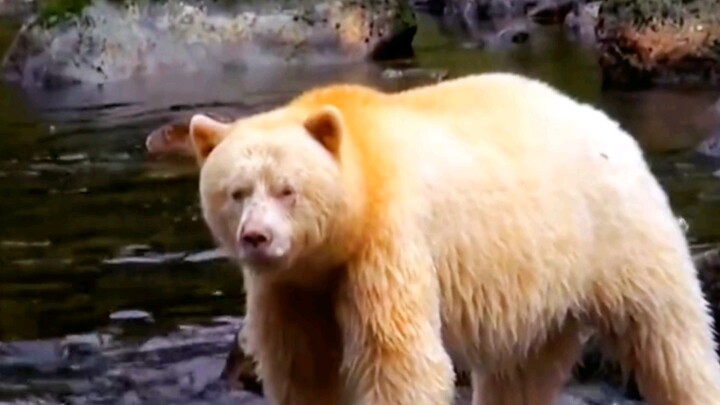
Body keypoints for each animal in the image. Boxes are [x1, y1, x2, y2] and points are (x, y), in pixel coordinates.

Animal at [187, 72, 720, 405]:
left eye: (287, 190)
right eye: (236, 192)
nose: (256, 237)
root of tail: (616, 130)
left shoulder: (387, 242)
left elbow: (401, 361)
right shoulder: (293, 286)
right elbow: (301, 367)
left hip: (615, 232)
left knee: (668, 338)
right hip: (534, 280)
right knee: (520, 373)